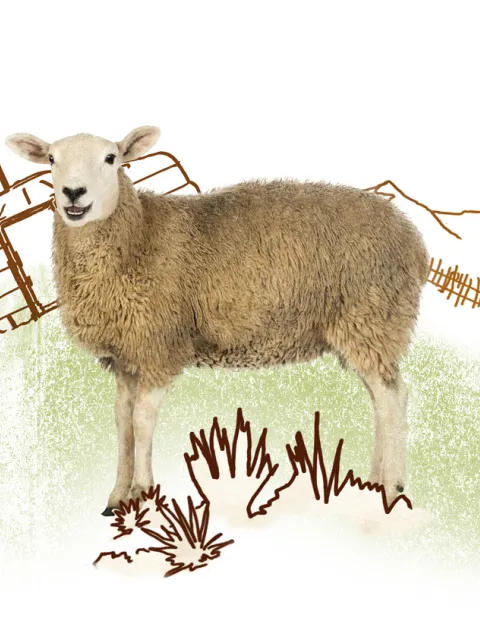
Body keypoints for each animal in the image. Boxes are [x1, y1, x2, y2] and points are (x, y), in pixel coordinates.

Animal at [5, 126, 430, 515]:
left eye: (112, 158)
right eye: (51, 159)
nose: (73, 193)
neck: (138, 236)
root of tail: (413, 239)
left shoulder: (160, 347)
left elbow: (142, 423)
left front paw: (142, 493)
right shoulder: (126, 358)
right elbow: (123, 425)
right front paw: (117, 497)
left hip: (372, 316)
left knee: (393, 399)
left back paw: (391, 488)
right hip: (364, 329)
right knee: (380, 400)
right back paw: (373, 482)